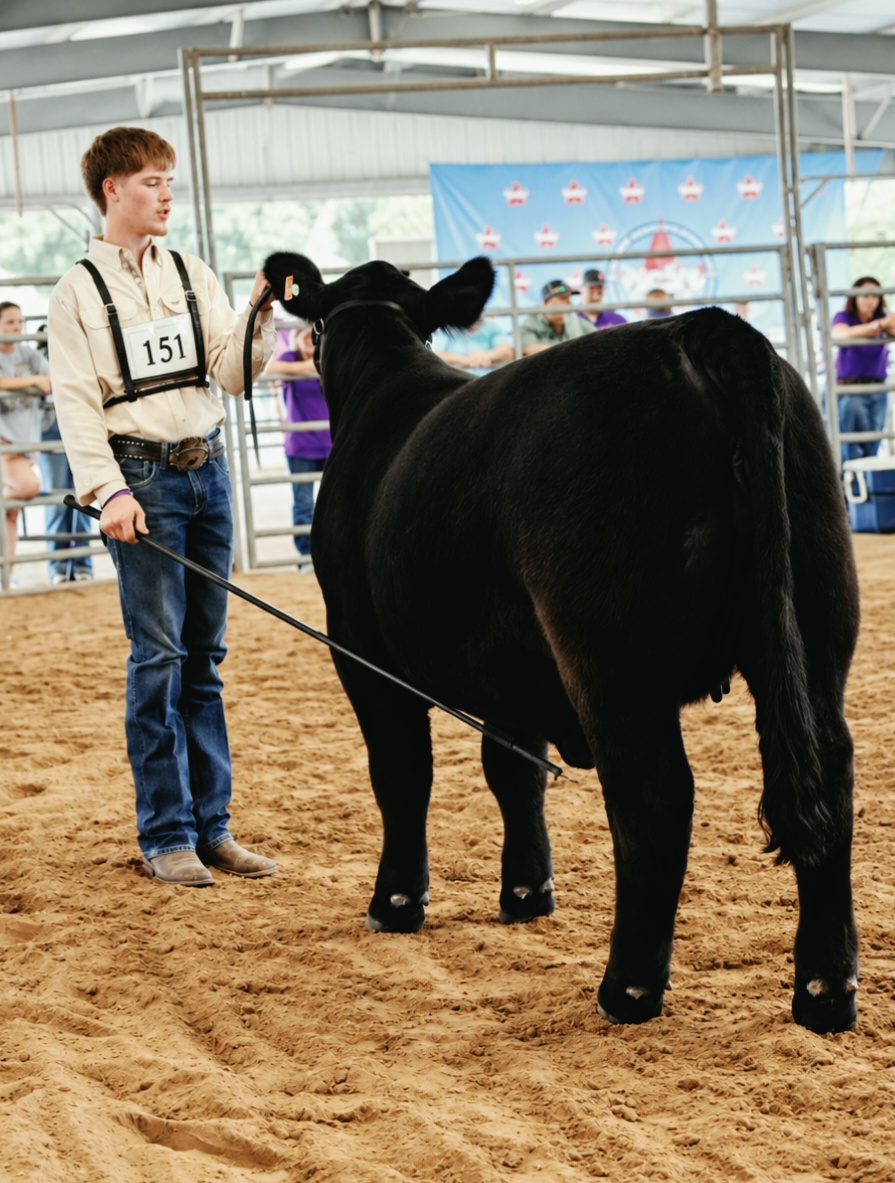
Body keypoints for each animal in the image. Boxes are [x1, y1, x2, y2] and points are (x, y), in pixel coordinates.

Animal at [263, 251, 860, 1034]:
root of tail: (703, 331)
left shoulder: (360, 649)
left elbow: (402, 775)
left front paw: (396, 902)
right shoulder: (510, 668)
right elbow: (513, 771)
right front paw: (525, 893)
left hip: (610, 653)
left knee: (652, 793)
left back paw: (628, 988)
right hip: (816, 620)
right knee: (830, 775)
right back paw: (826, 990)